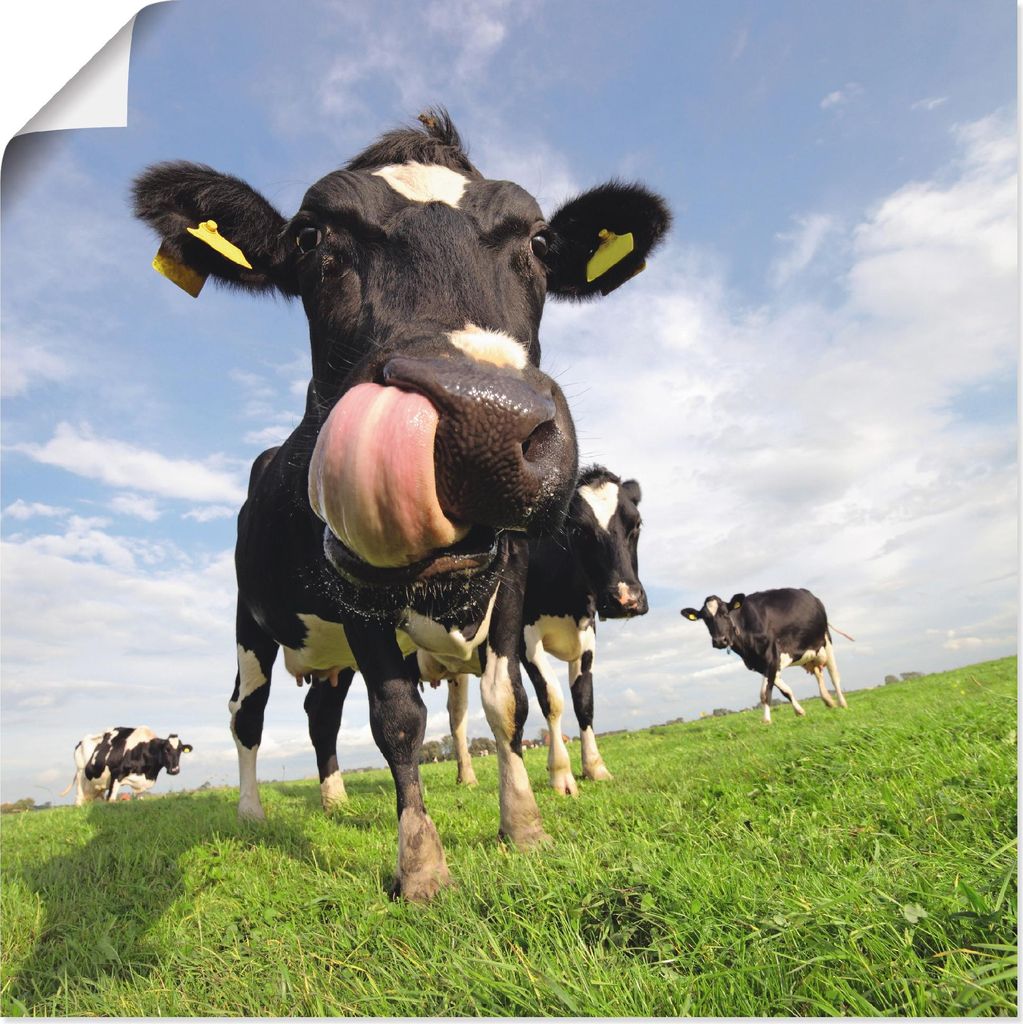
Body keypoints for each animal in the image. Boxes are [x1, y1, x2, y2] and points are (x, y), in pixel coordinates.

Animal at [59, 727, 193, 805]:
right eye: (166, 749)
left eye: (180, 750)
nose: (175, 770)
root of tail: (80, 742)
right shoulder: (116, 773)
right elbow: (111, 799)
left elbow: (140, 798)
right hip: (80, 775)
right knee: (78, 799)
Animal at [133, 109, 669, 899]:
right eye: (310, 238)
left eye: (540, 241)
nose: (485, 420)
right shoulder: (357, 594)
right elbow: (397, 719)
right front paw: (420, 863)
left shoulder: (511, 586)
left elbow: (508, 703)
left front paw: (524, 825)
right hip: (250, 624)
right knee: (246, 713)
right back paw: (253, 812)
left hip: (328, 655)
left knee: (320, 713)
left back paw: (331, 797)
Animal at [681, 588, 848, 723]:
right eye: (705, 618)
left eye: (725, 613)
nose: (719, 641)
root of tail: (812, 596)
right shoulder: (760, 664)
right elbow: (784, 690)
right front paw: (799, 711)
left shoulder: (771, 657)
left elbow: (765, 693)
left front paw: (766, 719)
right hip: (810, 654)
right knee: (818, 673)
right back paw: (828, 700)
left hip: (826, 640)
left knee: (834, 676)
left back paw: (842, 703)